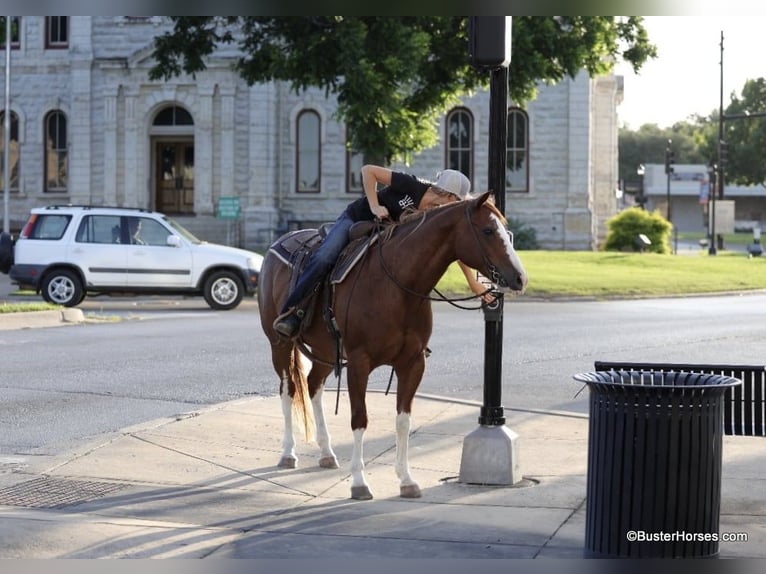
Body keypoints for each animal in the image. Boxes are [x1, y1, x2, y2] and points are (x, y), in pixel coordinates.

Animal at [257, 191, 527, 500]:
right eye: (487, 231)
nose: (520, 277)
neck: (396, 286)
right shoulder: (359, 363)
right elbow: (359, 419)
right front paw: (359, 482)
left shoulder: (413, 362)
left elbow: (403, 421)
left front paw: (406, 479)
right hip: (280, 344)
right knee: (289, 389)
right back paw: (288, 452)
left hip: (326, 350)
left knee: (313, 386)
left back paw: (326, 452)